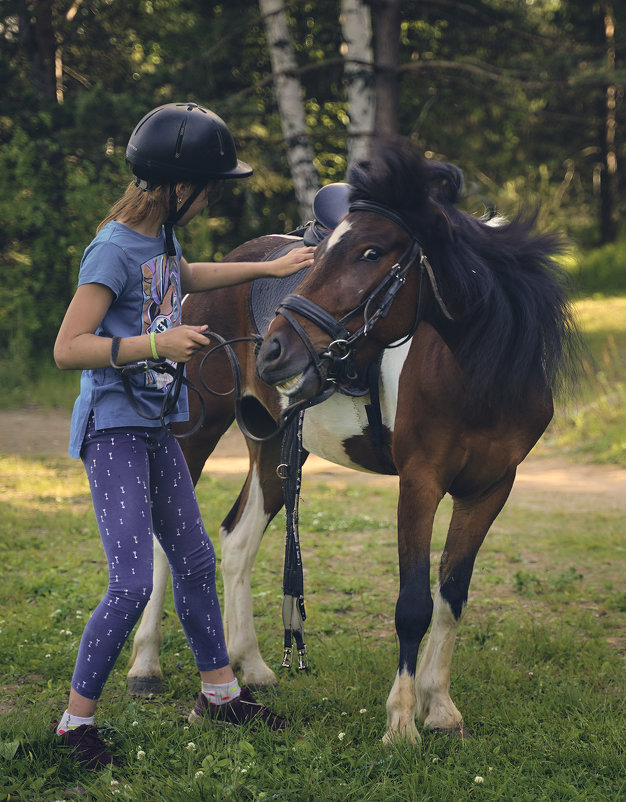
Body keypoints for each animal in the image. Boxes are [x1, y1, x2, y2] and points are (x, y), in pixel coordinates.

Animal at [125, 139, 576, 744]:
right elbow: (413, 603)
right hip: (196, 432)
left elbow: (451, 597)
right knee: (162, 541)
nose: (273, 352)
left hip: (274, 446)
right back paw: (145, 665)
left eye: (371, 252)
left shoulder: (490, 489)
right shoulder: (420, 483)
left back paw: (253, 667)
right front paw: (402, 722)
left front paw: (440, 707)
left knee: (238, 538)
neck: (478, 369)